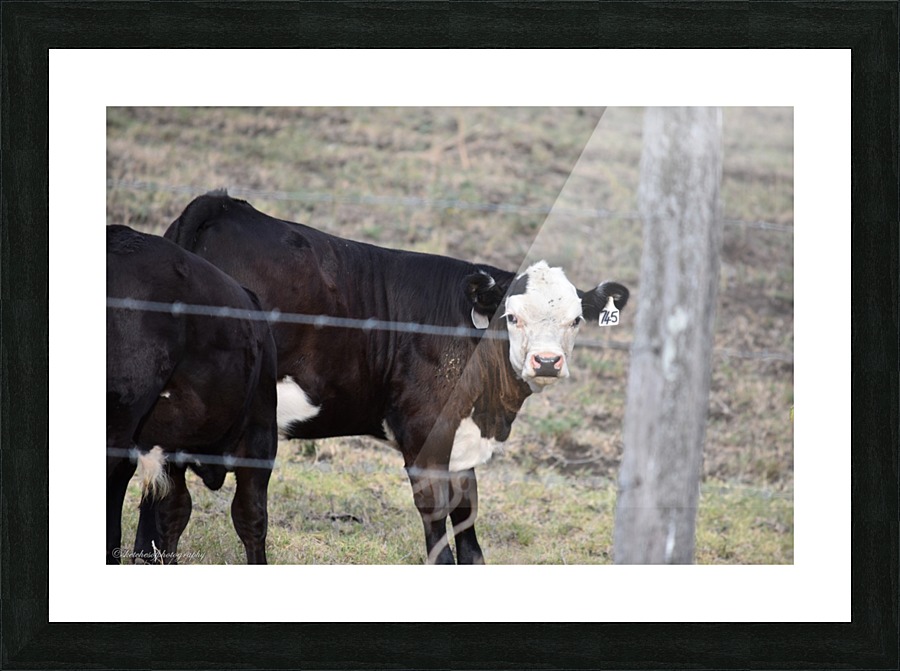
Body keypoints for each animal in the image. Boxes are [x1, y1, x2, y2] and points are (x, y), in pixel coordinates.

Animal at [163, 192, 629, 564]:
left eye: (575, 320)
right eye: (511, 316)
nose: (547, 361)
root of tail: (222, 205)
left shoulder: (461, 441)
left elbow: (469, 528)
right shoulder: (424, 435)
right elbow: (439, 532)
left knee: (172, 507)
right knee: (244, 514)